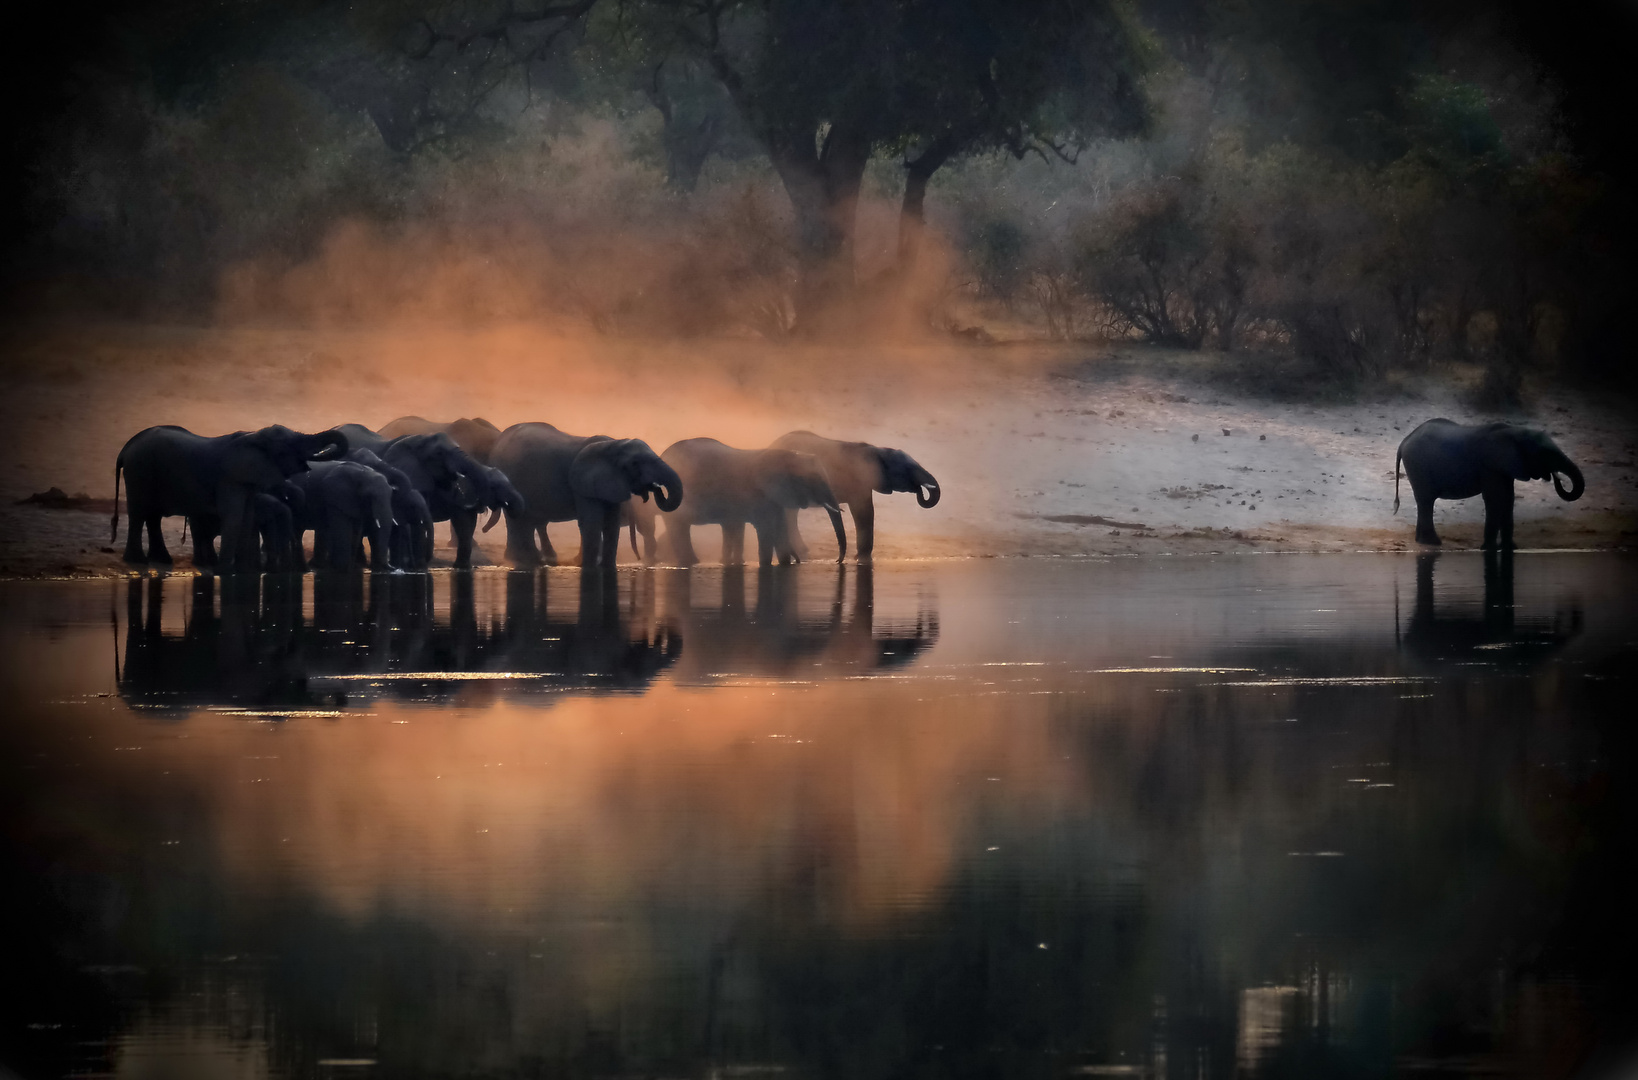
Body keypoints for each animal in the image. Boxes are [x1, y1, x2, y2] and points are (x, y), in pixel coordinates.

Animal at [113, 426, 350, 573]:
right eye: (286, 447)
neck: (253, 435)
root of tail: (126, 448)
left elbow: (247, 517)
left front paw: (243, 572)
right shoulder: (230, 478)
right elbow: (235, 516)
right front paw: (224, 572)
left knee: (152, 516)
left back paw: (161, 560)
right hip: (140, 470)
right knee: (138, 513)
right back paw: (137, 560)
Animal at [491, 422, 684, 570]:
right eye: (635, 464)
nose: (655, 489)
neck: (613, 445)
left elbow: (611, 524)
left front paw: (608, 568)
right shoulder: (583, 484)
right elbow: (592, 522)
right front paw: (588, 568)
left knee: (527, 521)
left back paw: (531, 562)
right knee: (518, 521)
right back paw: (520, 562)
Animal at [651, 435, 838, 570]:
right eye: (814, 480)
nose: (838, 561)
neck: (785, 454)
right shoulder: (756, 495)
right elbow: (764, 528)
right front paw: (765, 565)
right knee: (678, 527)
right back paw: (689, 563)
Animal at [769, 432, 943, 567]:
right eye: (909, 469)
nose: (919, 489)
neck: (878, 451)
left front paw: (861, 560)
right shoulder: (859, 478)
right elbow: (863, 511)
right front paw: (863, 561)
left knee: (791, 513)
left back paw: (802, 552)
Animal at [1395, 416, 1585, 550]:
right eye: (1545, 453)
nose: (1555, 476)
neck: (1515, 432)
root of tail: (1404, 441)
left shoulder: (1506, 467)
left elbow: (1508, 498)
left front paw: (1510, 548)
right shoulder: (1489, 465)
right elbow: (1494, 498)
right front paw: (1489, 549)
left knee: (1424, 502)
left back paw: (1424, 541)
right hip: (1418, 464)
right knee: (1426, 500)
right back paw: (1433, 543)